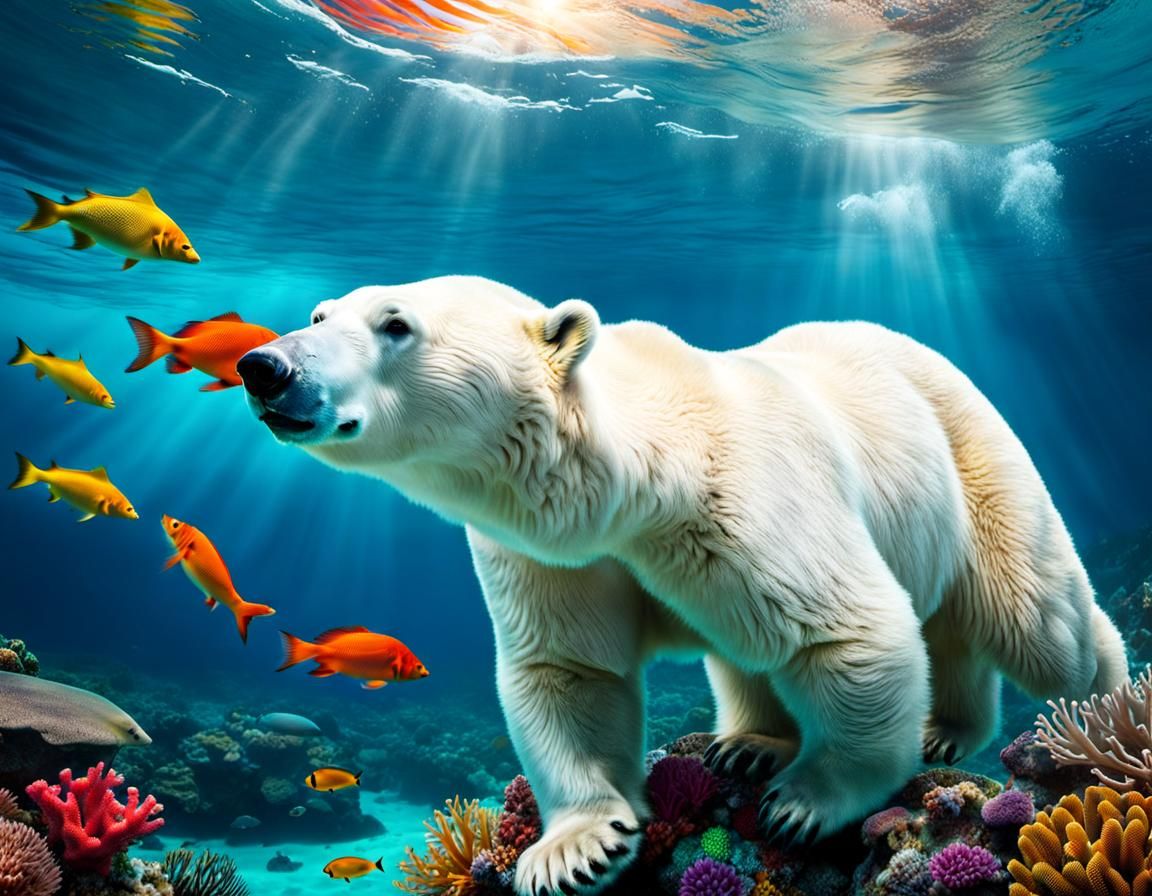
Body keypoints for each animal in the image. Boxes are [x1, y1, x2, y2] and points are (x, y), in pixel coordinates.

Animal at [237, 275, 1128, 895]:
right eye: (319, 314)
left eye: (396, 324)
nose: (263, 366)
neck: (640, 480)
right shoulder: (555, 552)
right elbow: (567, 671)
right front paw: (575, 849)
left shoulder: (740, 501)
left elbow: (849, 629)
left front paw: (806, 802)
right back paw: (782, 741)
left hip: (974, 458)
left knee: (1035, 620)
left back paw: (1101, 711)